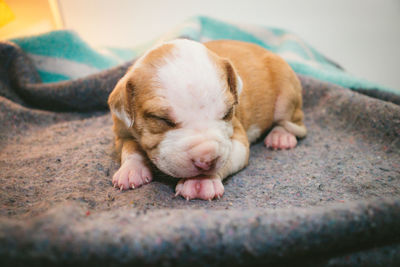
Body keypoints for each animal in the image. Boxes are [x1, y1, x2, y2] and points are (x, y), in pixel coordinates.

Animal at [107, 38, 306, 201]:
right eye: (161, 119)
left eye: (227, 112)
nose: (206, 160)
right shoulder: (122, 131)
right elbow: (129, 148)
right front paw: (131, 170)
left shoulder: (237, 137)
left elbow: (229, 155)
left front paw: (202, 182)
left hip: (286, 96)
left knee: (294, 123)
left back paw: (281, 137)